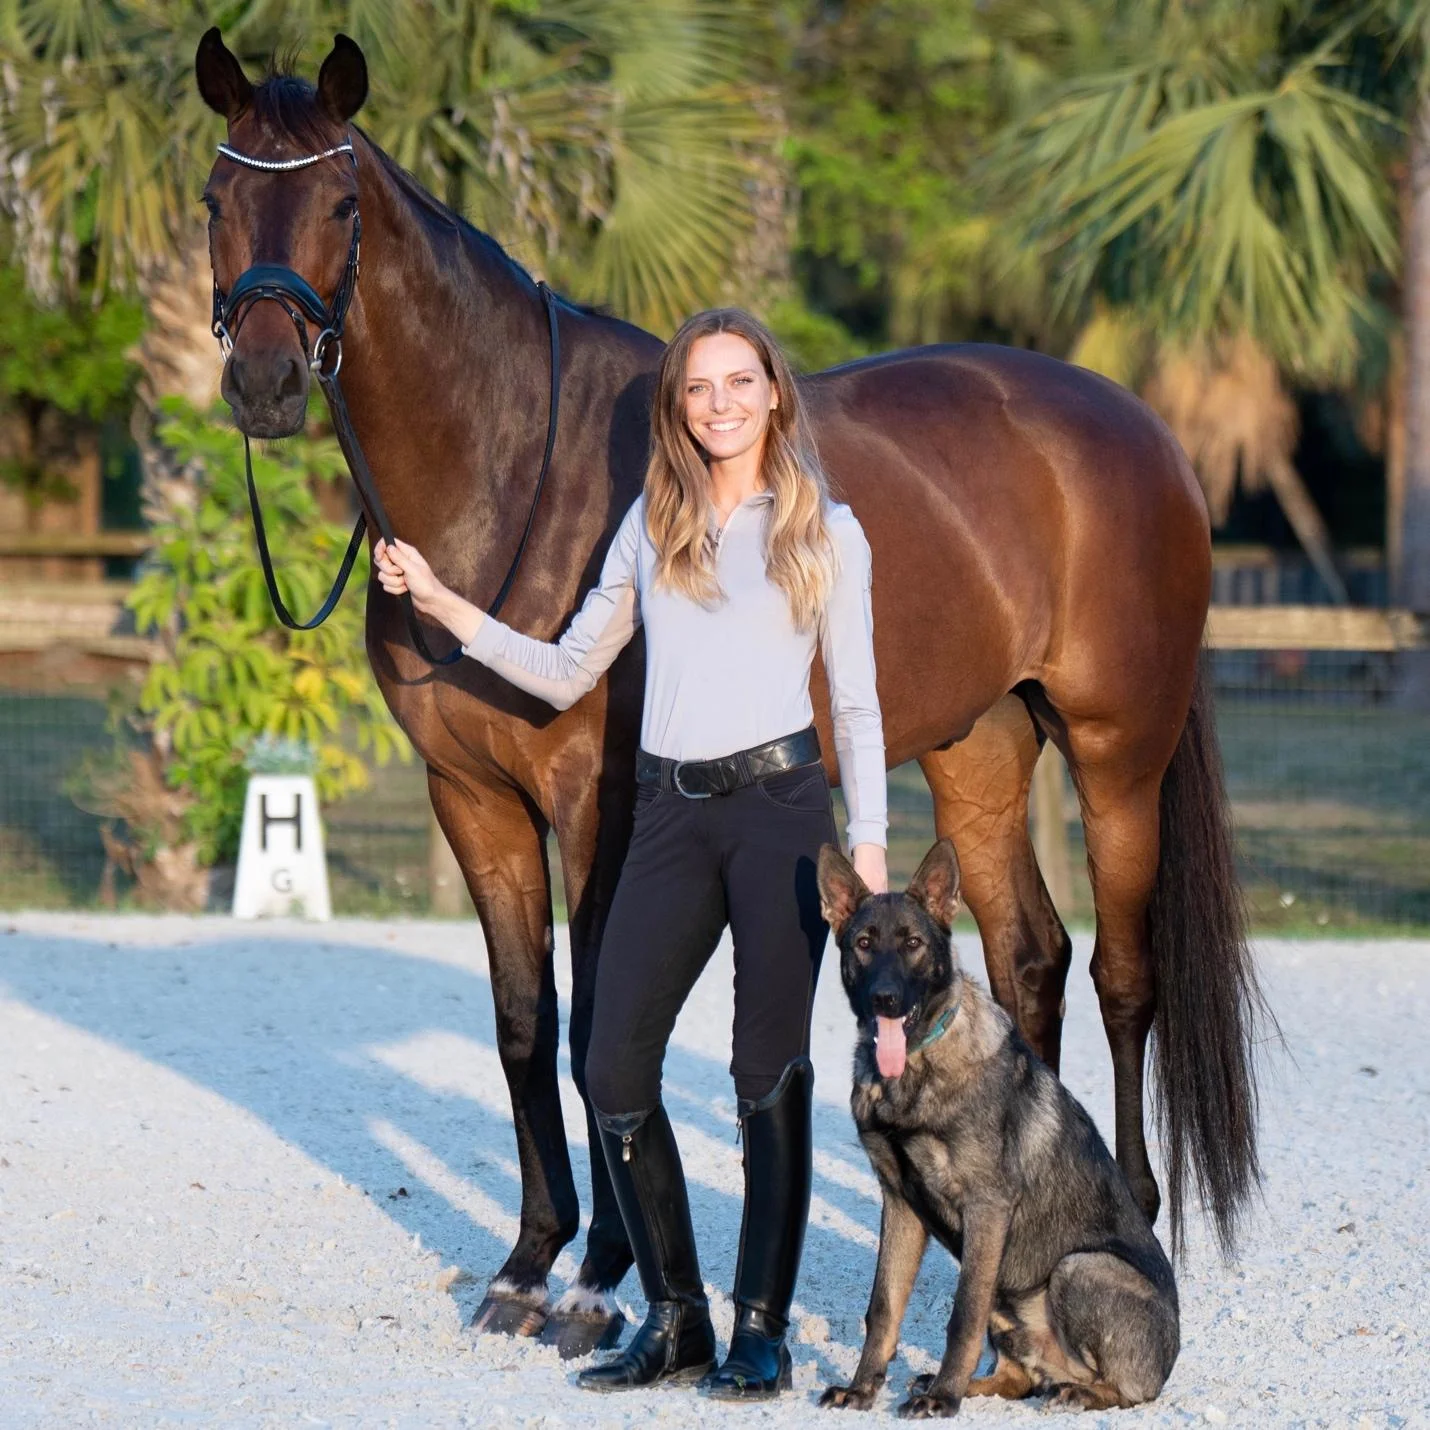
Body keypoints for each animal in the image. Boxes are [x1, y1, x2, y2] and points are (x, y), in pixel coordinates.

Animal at [198, 30, 1264, 1349]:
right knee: (1029, 959)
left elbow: (600, 1022)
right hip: (975, 748)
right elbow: (522, 1024)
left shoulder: (595, 805)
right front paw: (527, 1260)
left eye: (340, 206)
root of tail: (1141, 429)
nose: (264, 381)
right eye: (216, 199)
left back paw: (1136, 1223)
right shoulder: (471, 799)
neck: (508, 464)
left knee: (1124, 977)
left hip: (1118, 752)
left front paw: (601, 1274)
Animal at [812, 840, 1178, 1412]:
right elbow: (883, 1307)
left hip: (1079, 1266)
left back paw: (1072, 1391)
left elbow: (962, 1314)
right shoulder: (900, 1203)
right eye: (864, 944)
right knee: (1018, 1377)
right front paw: (862, 1387)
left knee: (1126, 1391)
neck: (916, 1070)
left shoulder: (986, 1209)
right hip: (1011, 1300)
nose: (884, 1000)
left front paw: (942, 1399)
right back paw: (969, 1383)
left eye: (913, 943)